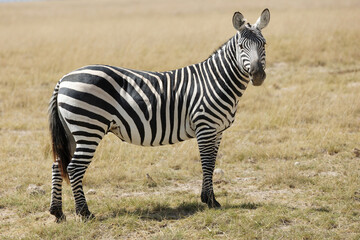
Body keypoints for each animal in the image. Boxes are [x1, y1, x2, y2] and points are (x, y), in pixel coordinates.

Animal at [47, 9, 268, 223]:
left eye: (264, 44)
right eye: (241, 46)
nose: (258, 75)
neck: (215, 81)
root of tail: (64, 78)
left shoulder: (218, 130)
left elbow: (212, 163)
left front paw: (209, 198)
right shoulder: (205, 127)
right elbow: (206, 162)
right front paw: (211, 201)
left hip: (72, 132)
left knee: (58, 164)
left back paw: (58, 212)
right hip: (89, 128)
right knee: (74, 168)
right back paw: (84, 213)